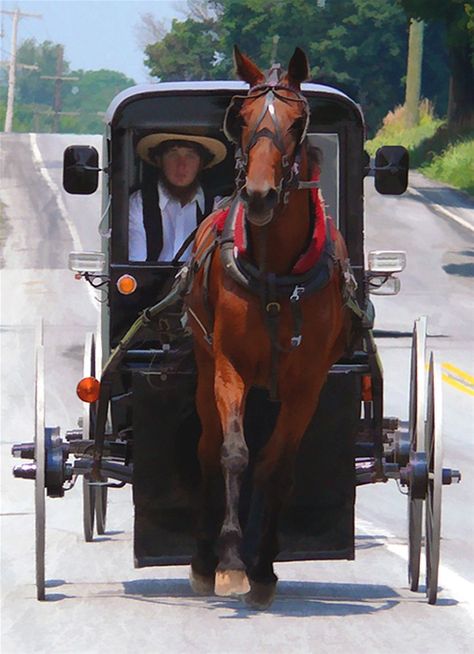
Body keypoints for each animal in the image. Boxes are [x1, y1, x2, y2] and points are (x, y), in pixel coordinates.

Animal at [183, 47, 354, 616]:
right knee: (208, 448)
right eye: (242, 119)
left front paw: (262, 568)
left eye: (298, 123)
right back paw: (202, 560)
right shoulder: (230, 366)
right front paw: (232, 560)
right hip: (204, 364)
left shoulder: (308, 385)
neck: (278, 272)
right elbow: (234, 453)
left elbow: (276, 467)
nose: (258, 196)